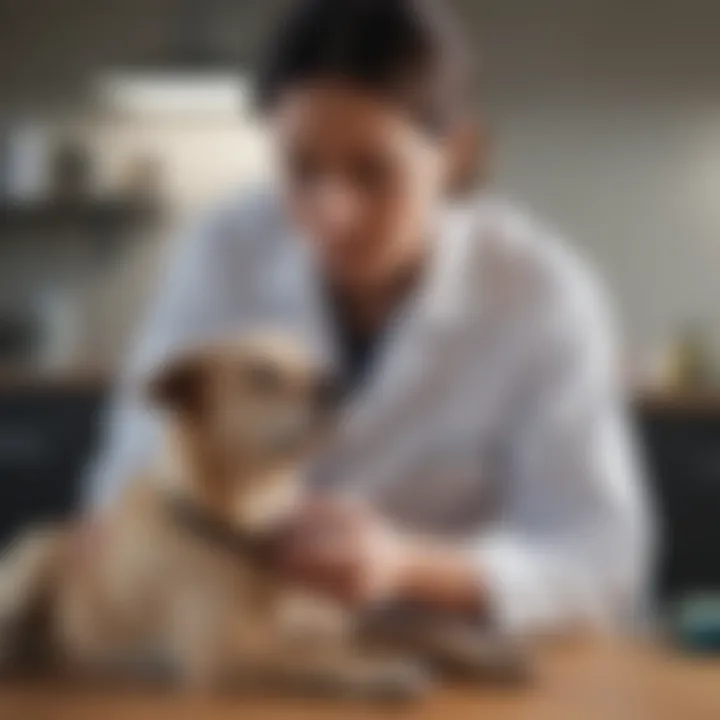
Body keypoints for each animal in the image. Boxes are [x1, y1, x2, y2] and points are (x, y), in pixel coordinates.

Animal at [0, 334, 528, 700]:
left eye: (314, 362)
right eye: (261, 375)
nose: (336, 384)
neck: (252, 523)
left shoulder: (334, 618)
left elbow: (413, 627)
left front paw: (484, 651)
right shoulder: (222, 651)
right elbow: (308, 653)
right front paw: (376, 670)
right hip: (36, 549)